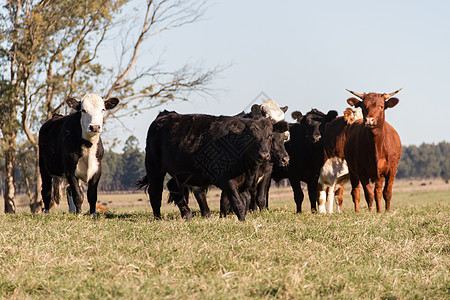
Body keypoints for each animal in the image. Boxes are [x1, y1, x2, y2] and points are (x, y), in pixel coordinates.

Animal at [135, 109, 288, 220]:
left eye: (269, 136)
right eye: (250, 136)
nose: (264, 155)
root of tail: (165, 115)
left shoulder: (245, 183)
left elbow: (244, 201)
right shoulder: (227, 180)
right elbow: (237, 202)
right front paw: (242, 221)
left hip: (182, 172)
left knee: (174, 187)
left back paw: (187, 215)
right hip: (154, 167)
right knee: (155, 192)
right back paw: (158, 218)